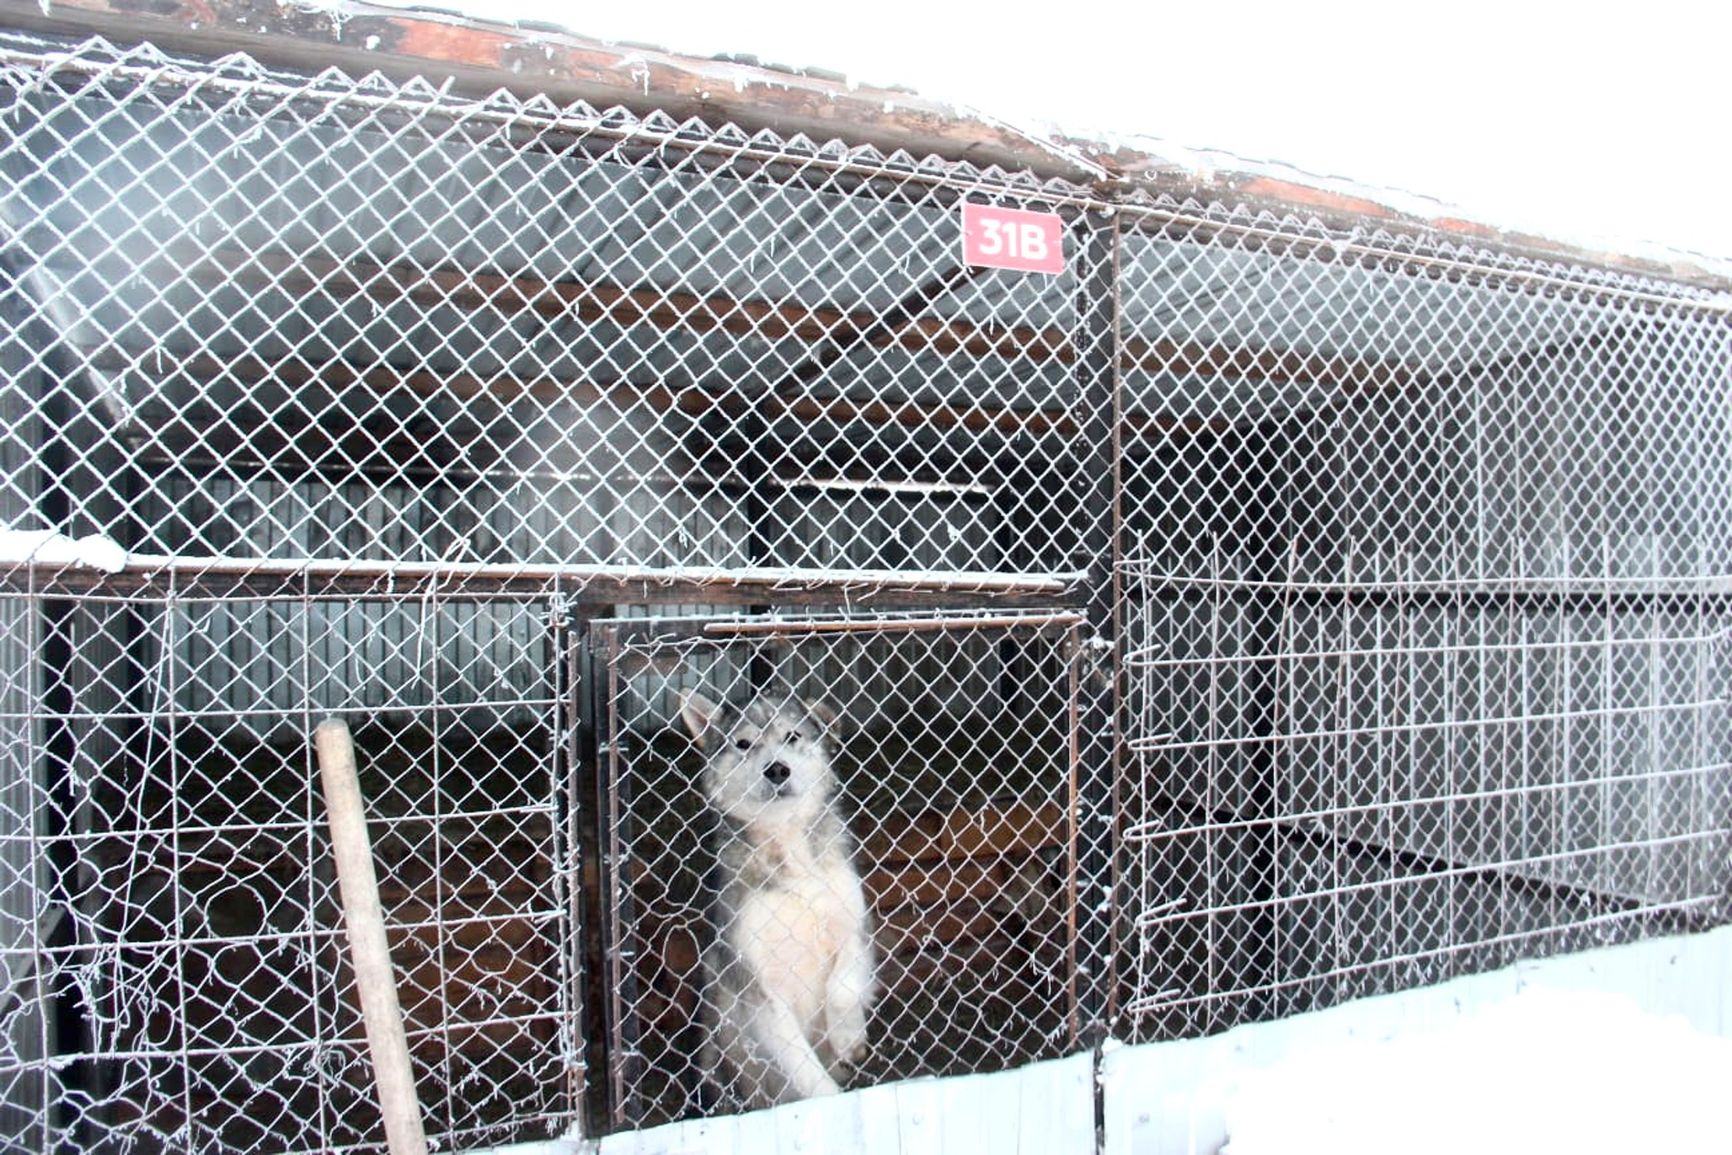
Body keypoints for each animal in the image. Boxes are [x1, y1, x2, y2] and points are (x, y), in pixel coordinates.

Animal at [675, 685, 879, 1108]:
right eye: (743, 743)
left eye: (792, 736)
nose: (777, 769)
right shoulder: (760, 994)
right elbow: (803, 1067)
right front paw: (831, 1097)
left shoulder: (854, 928)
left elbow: (843, 987)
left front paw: (847, 1038)